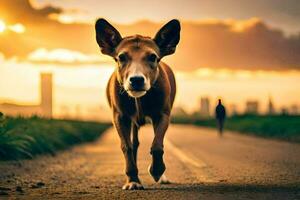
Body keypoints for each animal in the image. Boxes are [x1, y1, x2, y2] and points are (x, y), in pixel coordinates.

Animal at [95, 18, 179, 190]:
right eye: (121, 57)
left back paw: (162, 177)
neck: (139, 99)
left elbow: (157, 145)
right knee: (134, 145)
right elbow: (127, 147)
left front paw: (157, 170)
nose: (137, 80)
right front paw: (132, 180)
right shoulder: (120, 117)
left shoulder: (162, 114)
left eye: (153, 57)